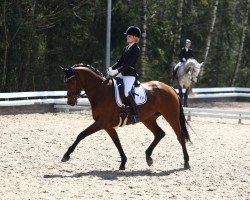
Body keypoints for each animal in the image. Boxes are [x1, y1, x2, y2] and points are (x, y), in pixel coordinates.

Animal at [60, 63, 191, 170]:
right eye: (65, 82)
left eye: (72, 82)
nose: (70, 102)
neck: (100, 91)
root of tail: (170, 88)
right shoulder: (107, 125)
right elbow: (117, 141)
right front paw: (123, 162)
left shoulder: (101, 122)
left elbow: (82, 134)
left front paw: (66, 155)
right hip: (148, 119)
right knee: (159, 134)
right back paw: (148, 157)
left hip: (171, 116)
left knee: (180, 136)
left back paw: (186, 163)